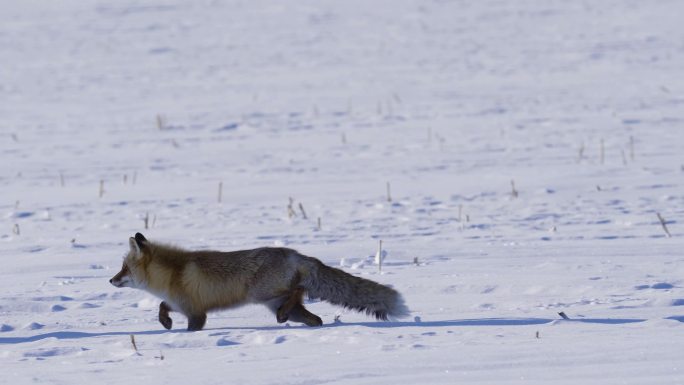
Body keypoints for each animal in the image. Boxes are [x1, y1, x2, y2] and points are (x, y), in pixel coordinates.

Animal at [107, 232, 406, 328]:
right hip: (276, 302)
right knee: (313, 317)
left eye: (123, 268)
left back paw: (284, 316)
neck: (171, 274)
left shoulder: (196, 314)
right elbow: (162, 307)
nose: (110, 280)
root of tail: (295, 254)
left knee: (298, 289)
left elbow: (189, 327)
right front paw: (164, 322)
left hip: (261, 294)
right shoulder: (182, 305)